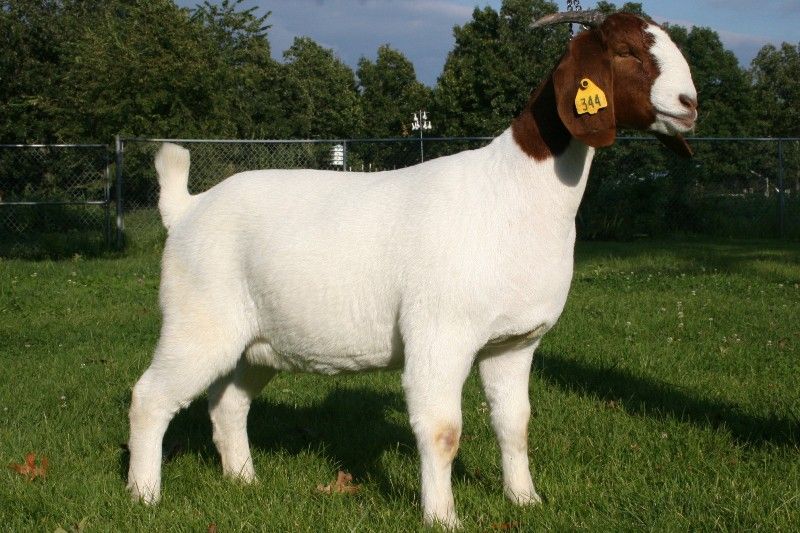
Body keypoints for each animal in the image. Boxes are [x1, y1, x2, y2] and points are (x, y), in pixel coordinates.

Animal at [127, 11, 697, 528]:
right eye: (625, 52)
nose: (690, 104)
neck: (514, 191)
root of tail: (187, 207)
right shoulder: (439, 334)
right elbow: (442, 430)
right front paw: (443, 517)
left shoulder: (514, 343)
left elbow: (514, 425)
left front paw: (525, 501)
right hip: (196, 322)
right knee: (150, 397)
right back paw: (144, 496)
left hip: (258, 340)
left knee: (228, 403)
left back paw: (244, 480)